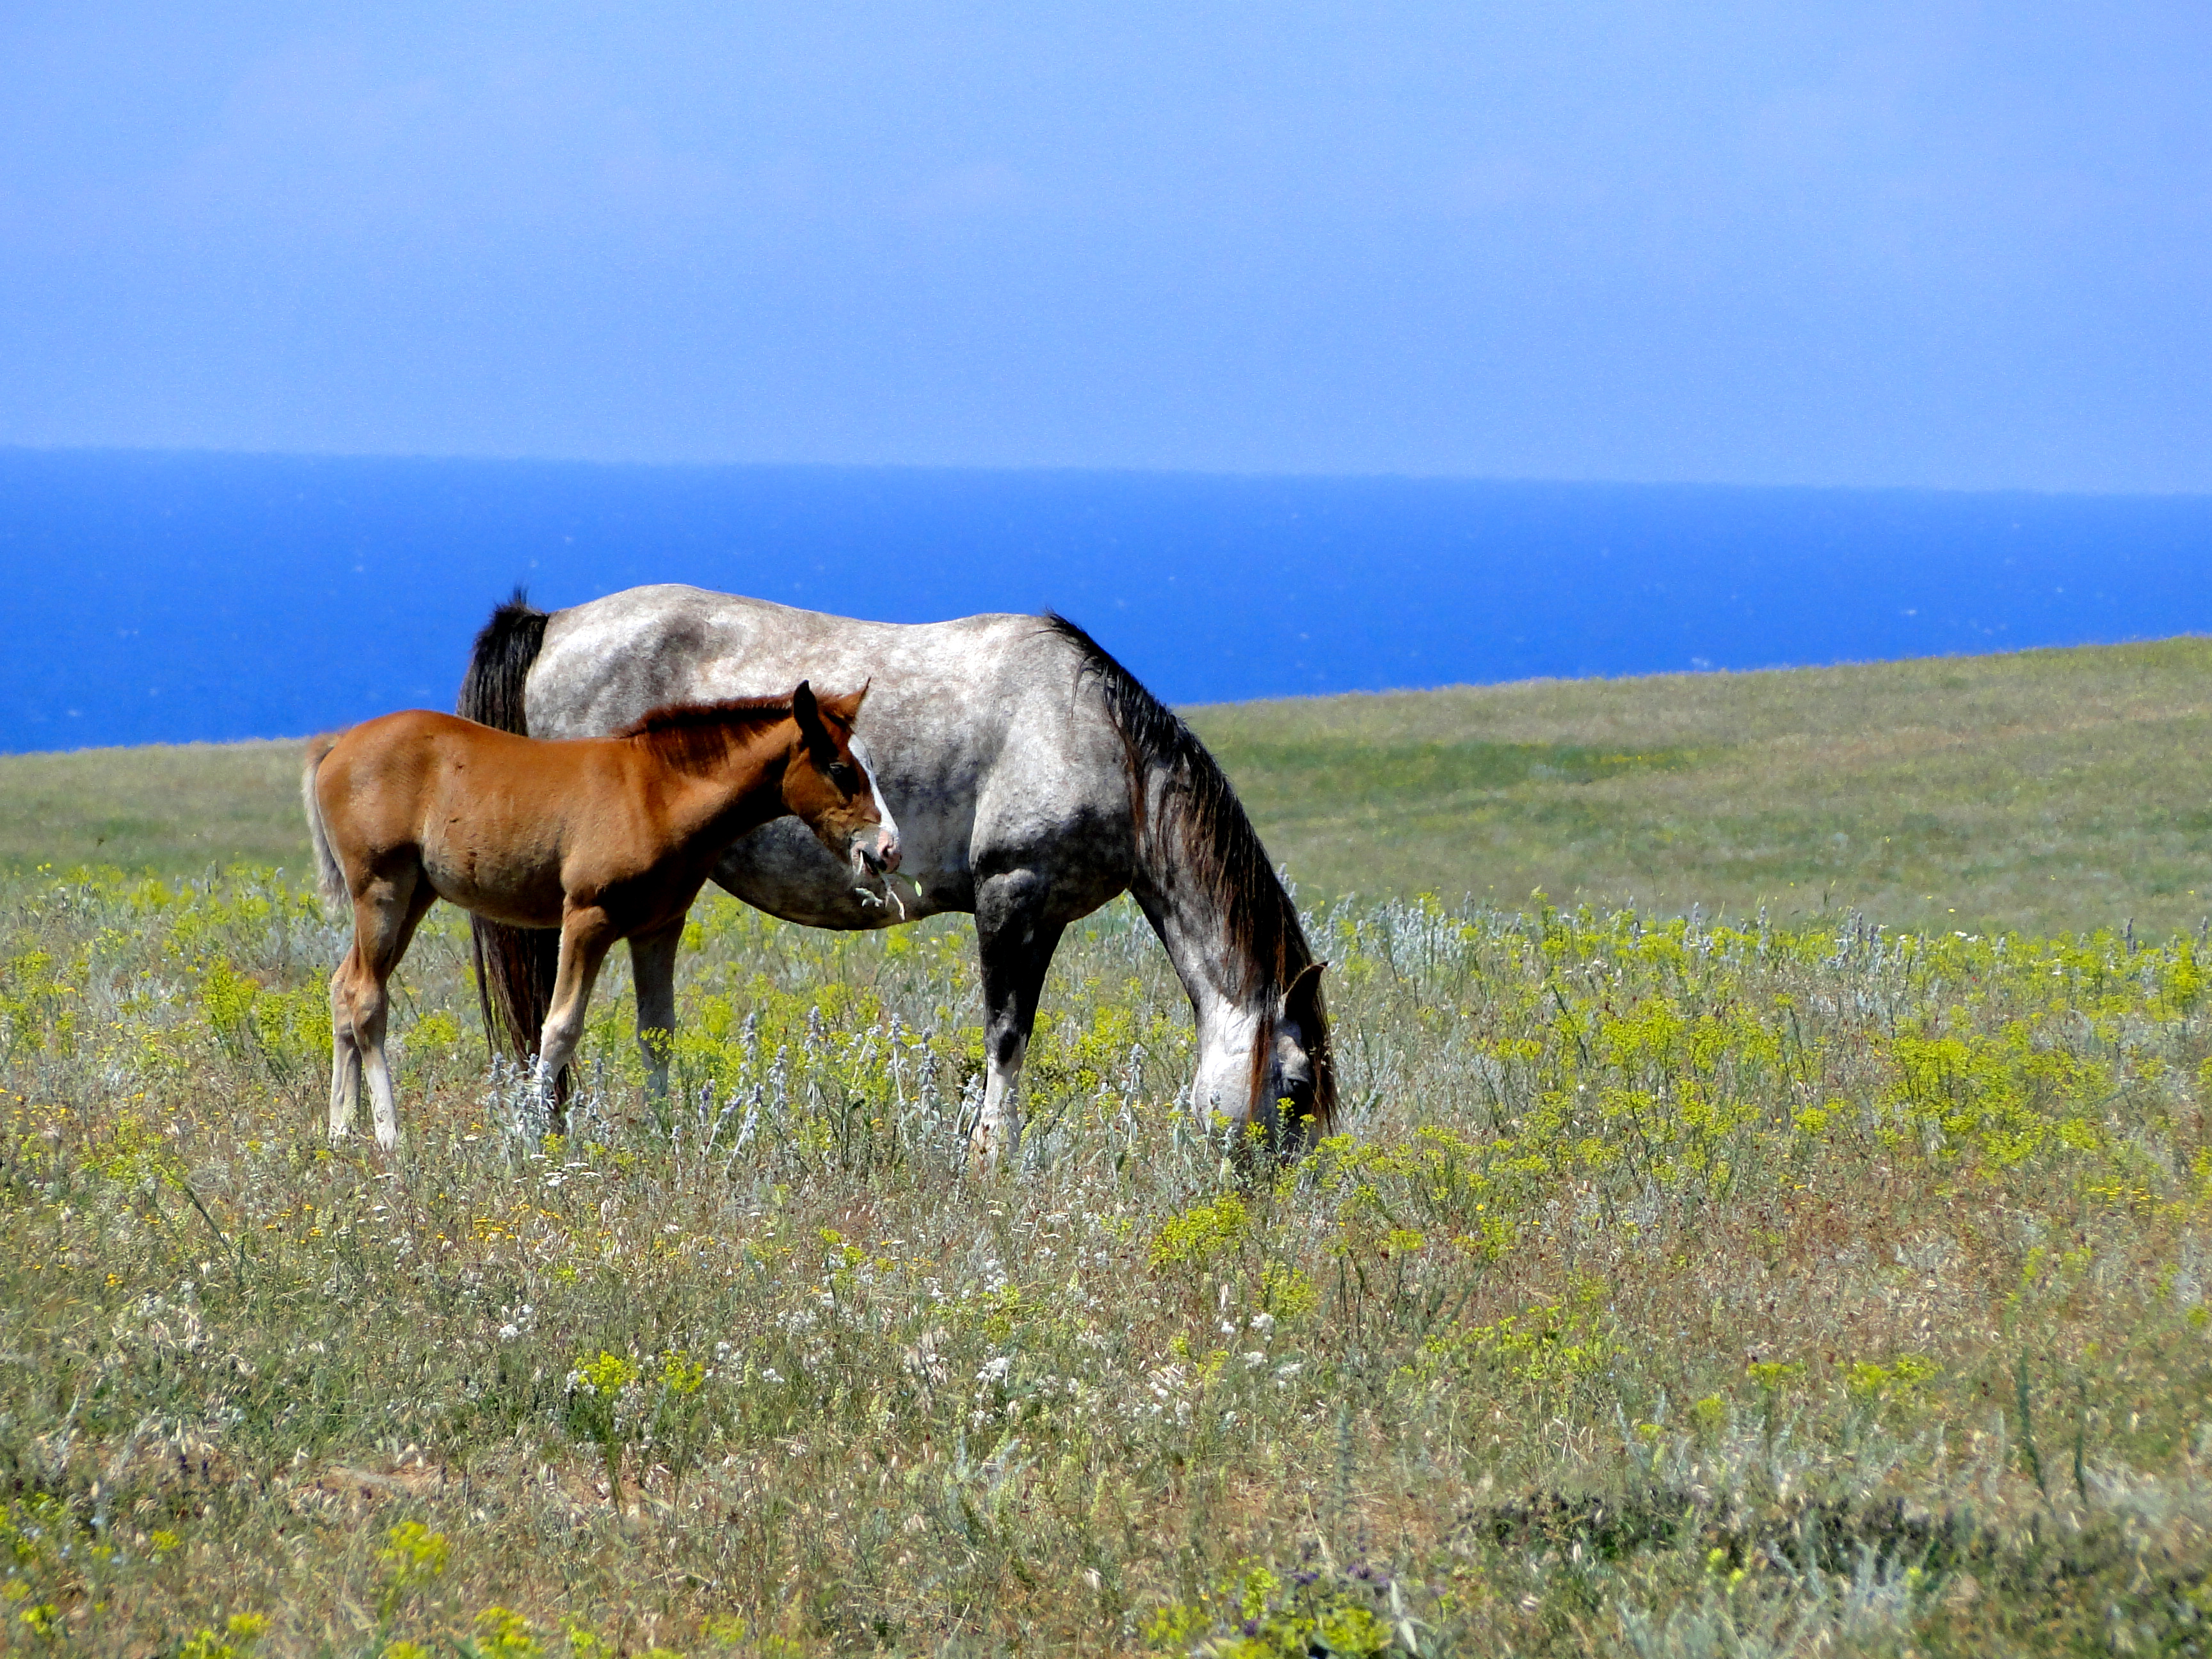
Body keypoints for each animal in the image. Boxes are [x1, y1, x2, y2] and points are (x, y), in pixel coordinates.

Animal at [303, 681, 898, 1150]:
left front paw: (662, 1133)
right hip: (382, 890)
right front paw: (527, 1136)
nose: (889, 849)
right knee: (367, 999)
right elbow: (560, 1027)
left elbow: (657, 1031)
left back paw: (340, 1131)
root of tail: (336, 747)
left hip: (414, 897)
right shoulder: (588, 917)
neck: (655, 794)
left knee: (344, 987)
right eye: (840, 768)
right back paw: (388, 1136)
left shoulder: (659, 927)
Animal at [458, 588, 1327, 1167]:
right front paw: (989, 1159)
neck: (1098, 738)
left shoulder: (1040, 912)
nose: (1280, 1195)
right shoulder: (1013, 894)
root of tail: (550, 624)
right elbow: (1006, 1035)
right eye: (1293, 1085)